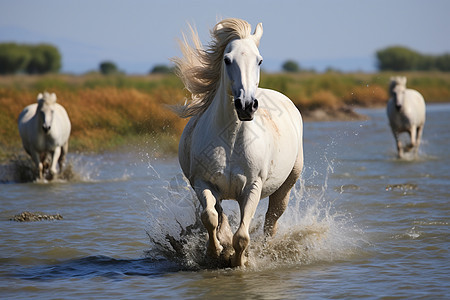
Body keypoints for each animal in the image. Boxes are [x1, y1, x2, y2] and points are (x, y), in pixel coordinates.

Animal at [174, 18, 304, 268]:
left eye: (259, 60)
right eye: (227, 59)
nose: (246, 105)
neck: (231, 141)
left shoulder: (252, 187)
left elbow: (242, 235)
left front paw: (239, 261)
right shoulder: (203, 182)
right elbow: (210, 217)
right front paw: (216, 252)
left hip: (286, 186)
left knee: (271, 222)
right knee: (220, 213)